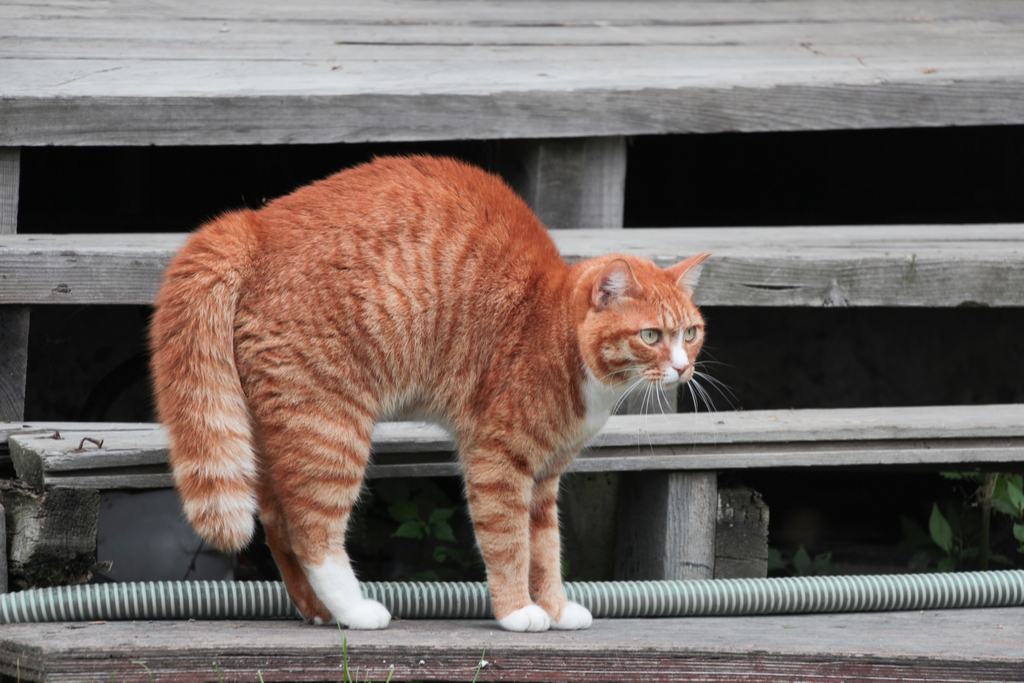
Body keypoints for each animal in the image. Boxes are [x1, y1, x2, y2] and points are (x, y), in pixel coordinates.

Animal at [149, 154, 704, 630]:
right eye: (651, 335)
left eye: (692, 332)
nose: (683, 368)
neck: (553, 329)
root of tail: (254, 225)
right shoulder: (497, 461)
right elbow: (509, 545)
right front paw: (517, 612)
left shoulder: (544, 480)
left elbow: (545, 550)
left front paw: (557, 608)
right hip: (328, 428)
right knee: (311, 529)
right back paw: (355, 610)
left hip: (275, 430)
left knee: (277, 524)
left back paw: (320, 612)